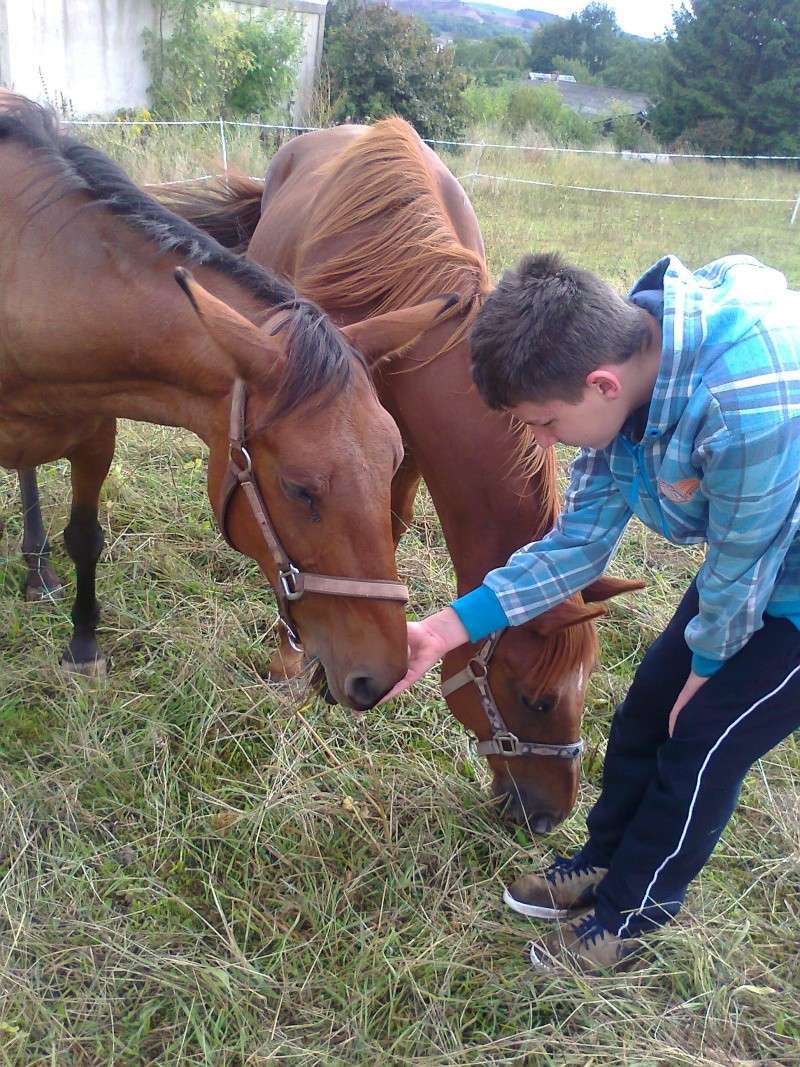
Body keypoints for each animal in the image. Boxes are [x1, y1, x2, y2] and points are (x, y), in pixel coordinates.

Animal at [0, 91, 454, 708]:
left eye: (393, 464)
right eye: (298, 488)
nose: (380, 678)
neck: (31, 275)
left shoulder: (95, 434)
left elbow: (85, 537)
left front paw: (83, 645)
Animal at [153, 118, 644, 832]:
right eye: (539, 698)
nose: (549, 817)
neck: (406, 281)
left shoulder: (398, 454)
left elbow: (384, 528)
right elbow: (295, 551)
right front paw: (294, 663)